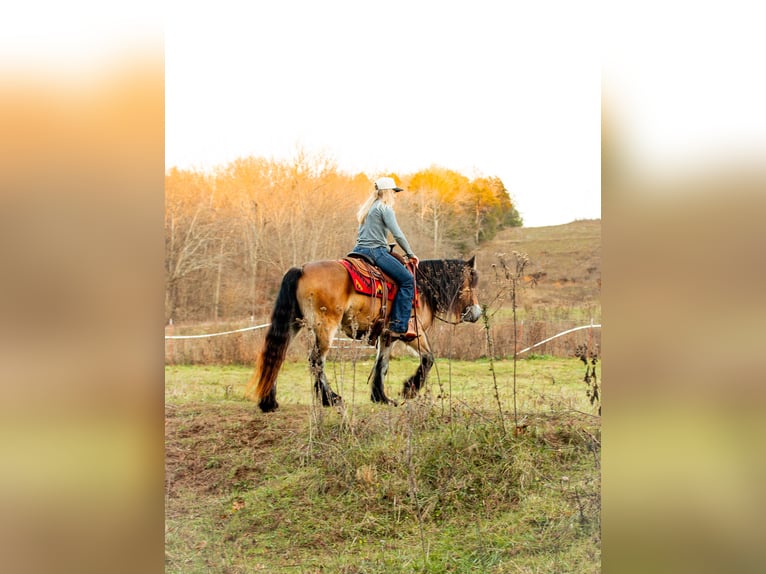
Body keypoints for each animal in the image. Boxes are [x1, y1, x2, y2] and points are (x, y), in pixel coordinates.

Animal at [245, 254, 481, 412]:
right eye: (471, 284)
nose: (476, 313)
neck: (422, 289)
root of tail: (301, 269)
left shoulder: (387, 336)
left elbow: (381, 365)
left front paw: (381, 397)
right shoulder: (414, 333)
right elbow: (428, 358)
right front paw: (409, 389)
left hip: (293, 323)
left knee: (277, 355)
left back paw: (269, 402)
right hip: (326, 327)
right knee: (316, 360)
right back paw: (330, 399)